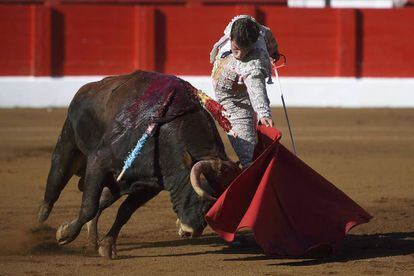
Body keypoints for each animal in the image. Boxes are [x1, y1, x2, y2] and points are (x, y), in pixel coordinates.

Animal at [38, 70, 243, 258]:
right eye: (202, 193)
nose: (190, 231)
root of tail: (87, 89)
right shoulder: (99, 163)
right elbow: (89, 207)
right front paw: (64, 233)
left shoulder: (150, 187)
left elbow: (124, 212)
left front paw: (107, 246)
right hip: (67, 145)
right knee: (55, 183)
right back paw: (40, 223)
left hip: (116, 183)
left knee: (103, 200)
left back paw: (92, 240)